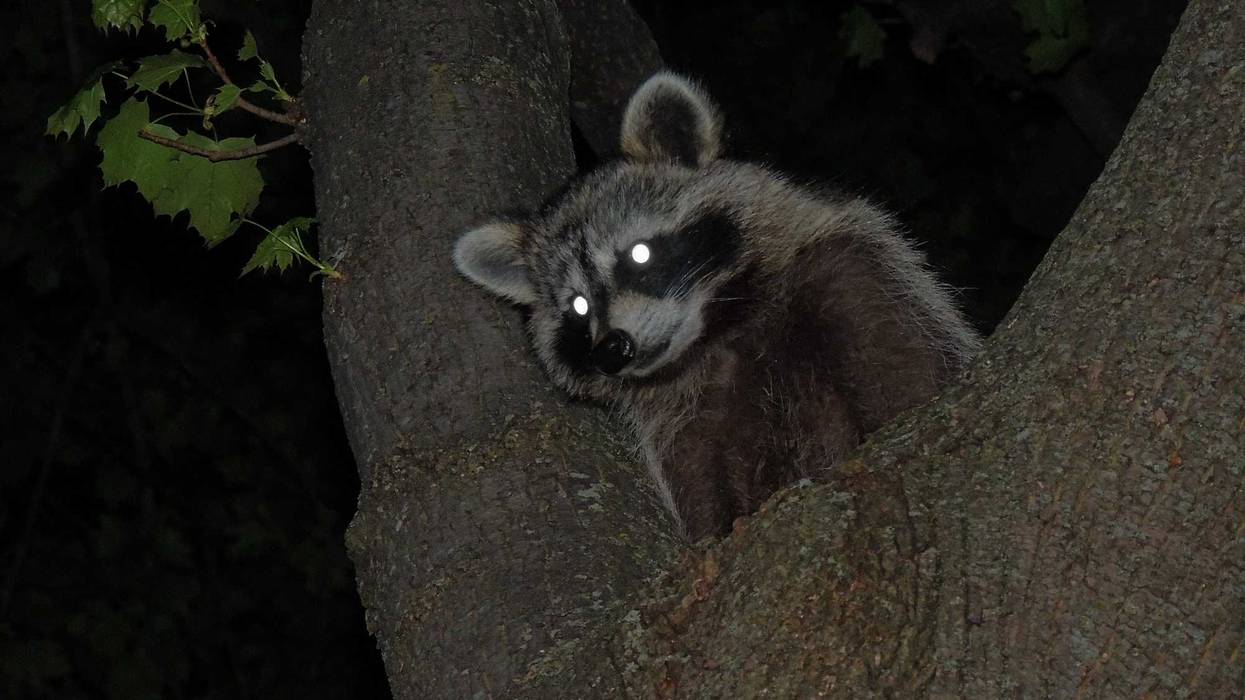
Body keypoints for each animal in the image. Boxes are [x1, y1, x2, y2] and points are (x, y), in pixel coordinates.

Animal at [454, 72, 980, 540]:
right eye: (578, 307)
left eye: (639, 254)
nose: (612, 349)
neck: (718, 330)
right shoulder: (683, 415)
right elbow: (699, 485)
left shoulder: (853, 274)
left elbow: (906, 374)